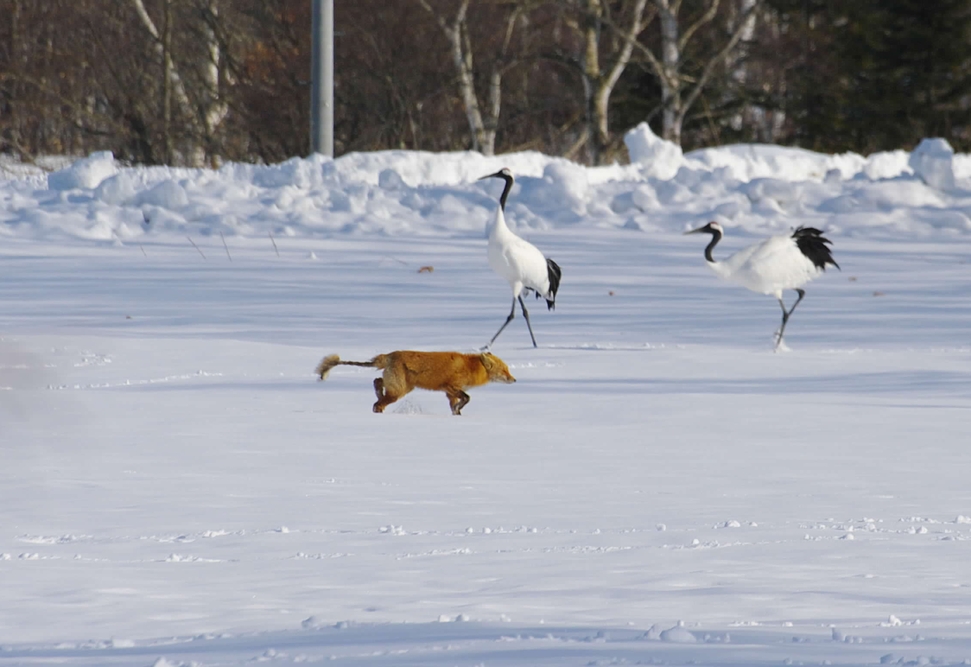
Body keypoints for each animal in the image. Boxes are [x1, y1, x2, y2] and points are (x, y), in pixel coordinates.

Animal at [318, 352, 516, 414]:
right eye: (505, 370)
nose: (514, 380)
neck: (471, 367)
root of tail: (389, 355)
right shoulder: (451, 386)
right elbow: (466, 398)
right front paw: (459, 410)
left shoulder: (449, 392)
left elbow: (455, 406)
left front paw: (457, 414)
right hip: (399, 391)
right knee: (379, 402)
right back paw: (378, 409)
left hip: (401, 387)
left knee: (377, 382)